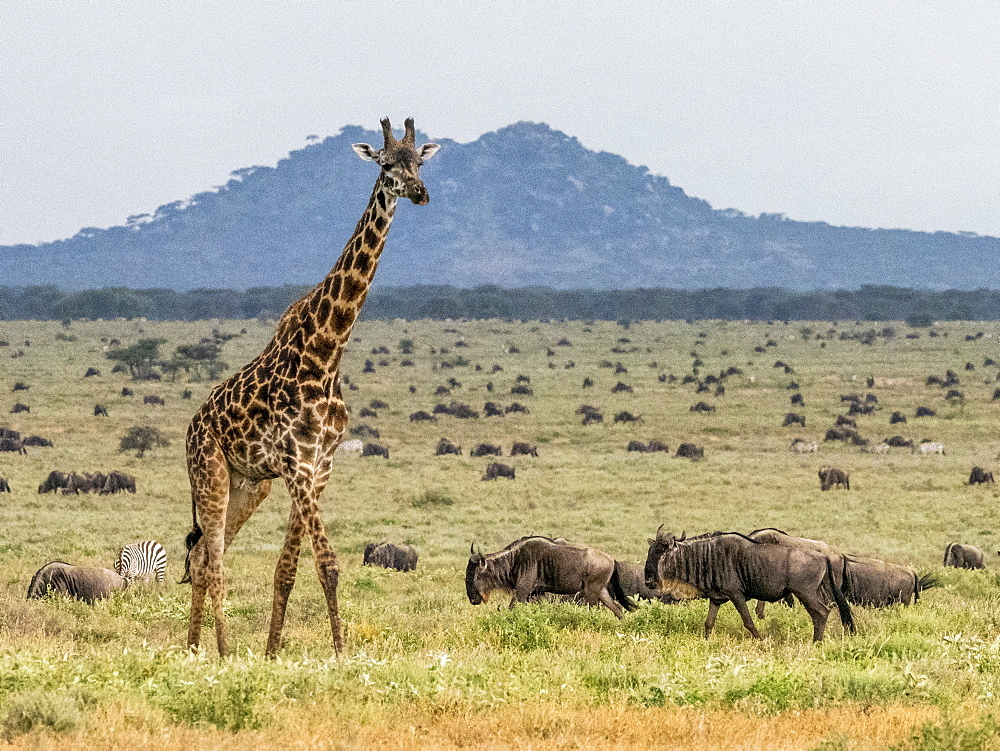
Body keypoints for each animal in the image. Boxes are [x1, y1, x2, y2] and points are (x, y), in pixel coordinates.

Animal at [183, 117, 438, 656]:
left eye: (420, 163)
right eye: (387, 163)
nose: (421, 193)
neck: (327, 351)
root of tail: (190, 428)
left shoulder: (319, 466)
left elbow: (288, 568)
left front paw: (273, 651)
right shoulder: (297, 465)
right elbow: (328, 563)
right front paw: (340, 655)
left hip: (248, 485)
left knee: (202, 557)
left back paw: (194, 648)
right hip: (209, 473)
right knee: (211, 560)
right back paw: (220, 652)